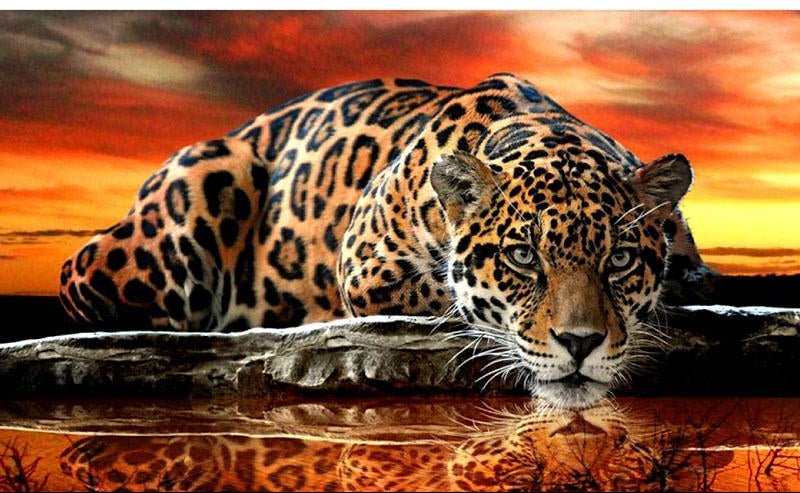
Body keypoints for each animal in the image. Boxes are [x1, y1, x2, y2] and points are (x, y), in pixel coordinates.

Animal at [58, 73, 713, 407]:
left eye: (620, 260)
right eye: (523, 258)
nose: (581, 344)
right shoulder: (366, 265)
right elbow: (448, 296)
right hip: (201, 185)